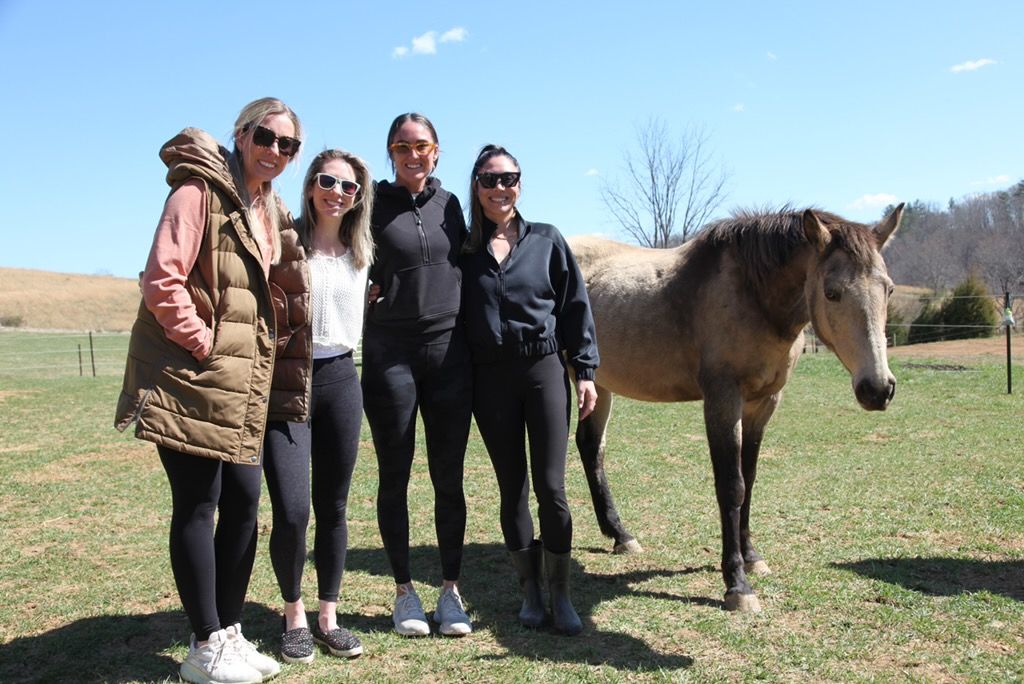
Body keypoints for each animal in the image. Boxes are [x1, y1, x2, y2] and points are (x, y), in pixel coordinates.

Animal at [569, 204, 904, 612]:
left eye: (888, 289)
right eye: (832, 292)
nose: (877, 389)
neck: (752, 295)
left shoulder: (762, 404)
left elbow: (751, 479)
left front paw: (752, 557)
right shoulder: (723, 400)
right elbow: (731, 486)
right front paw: (737, 584)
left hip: (598, 385)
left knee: (591, 447)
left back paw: (620, 534)